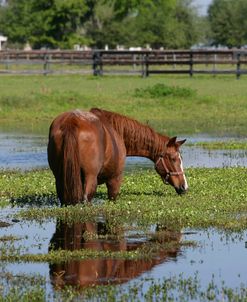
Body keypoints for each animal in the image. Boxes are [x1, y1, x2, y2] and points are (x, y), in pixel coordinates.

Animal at [47, 107, 188, 204]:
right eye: (173, 159)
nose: (184, 186)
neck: (117, 131)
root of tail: (72, 121)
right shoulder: (115, 180)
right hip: (90, 179)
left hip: (60, 179)